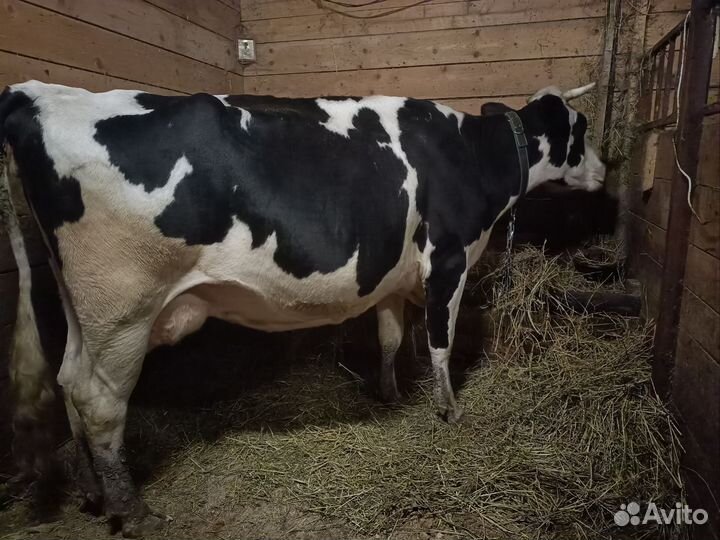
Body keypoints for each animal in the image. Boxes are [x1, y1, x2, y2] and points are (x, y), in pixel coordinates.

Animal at [0, 80, 605, 536]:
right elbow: (441, 341)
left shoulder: (393, 279)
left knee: (69, 378)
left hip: (84, 305)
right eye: (581, 130)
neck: (473, 157)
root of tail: (38, 93)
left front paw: (390, 393)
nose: (605, 171)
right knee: (100, 400)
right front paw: (448, 410)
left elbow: (391, 336)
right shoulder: (448, 259)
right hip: (125, 305)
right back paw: (133, 511)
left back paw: (91, 490)